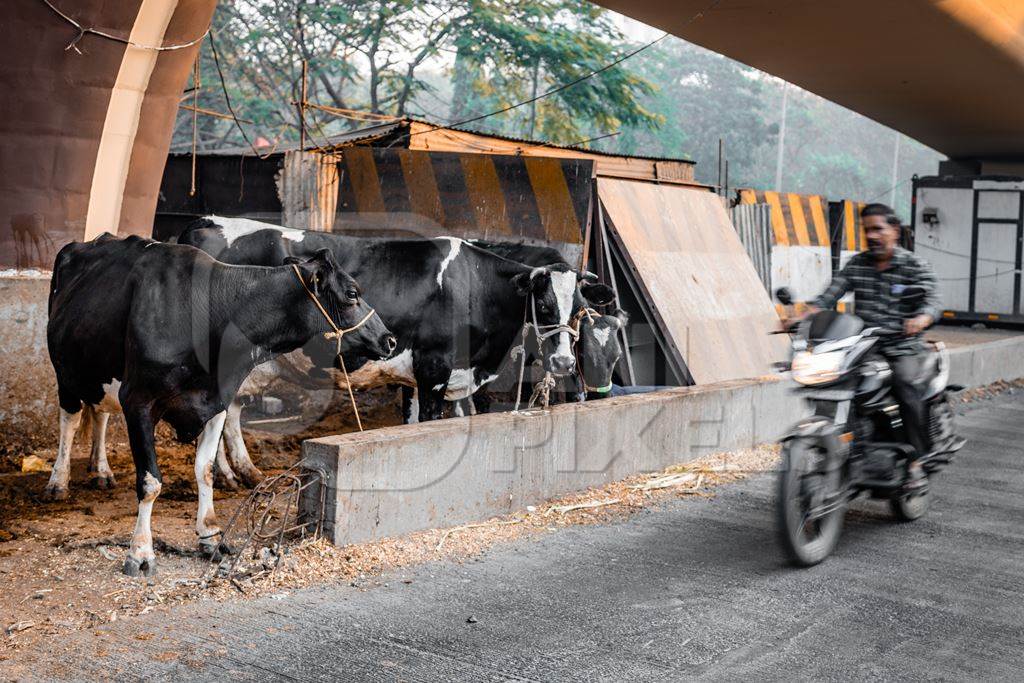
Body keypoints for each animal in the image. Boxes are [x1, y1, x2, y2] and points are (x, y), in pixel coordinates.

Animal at [48, 235, 393, 577]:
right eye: (352, 293)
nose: (389, 339)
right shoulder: (138, 401)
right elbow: (150, 483)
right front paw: (141, 551)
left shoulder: (217, 401)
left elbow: (206, 470)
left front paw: (210, 536)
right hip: (65, 372)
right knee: (70, 418)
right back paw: (58, 481)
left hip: (98, 370)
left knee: (101, 412)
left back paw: (101, 470)